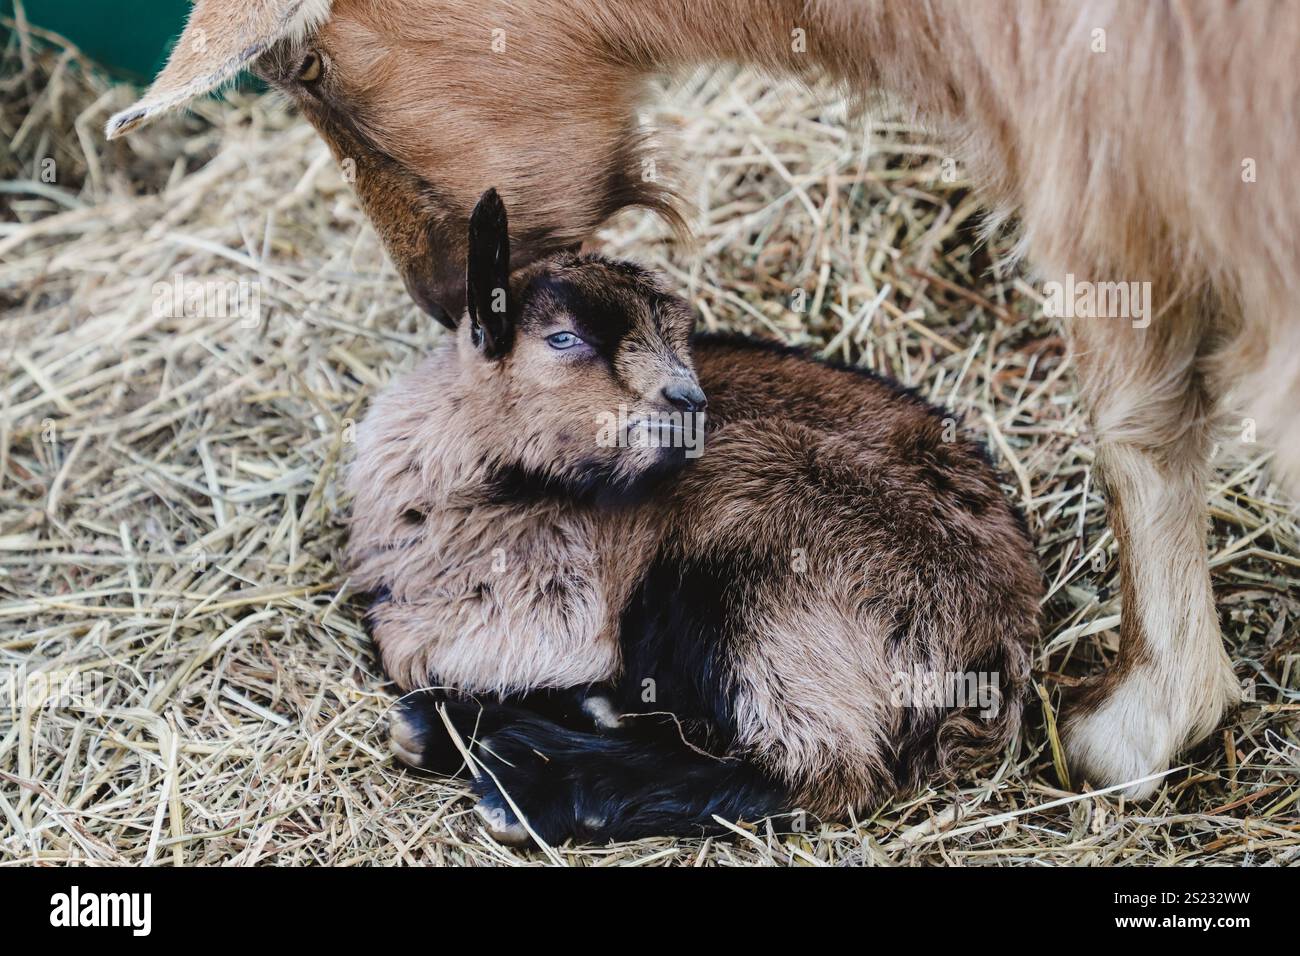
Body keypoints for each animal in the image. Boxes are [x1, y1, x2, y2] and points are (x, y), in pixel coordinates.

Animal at [343, 189, 1041, 843]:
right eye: (564, 337)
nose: (689, 400)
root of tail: (998, 642)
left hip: (770, 554)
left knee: (814, 767)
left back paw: (523, 778)